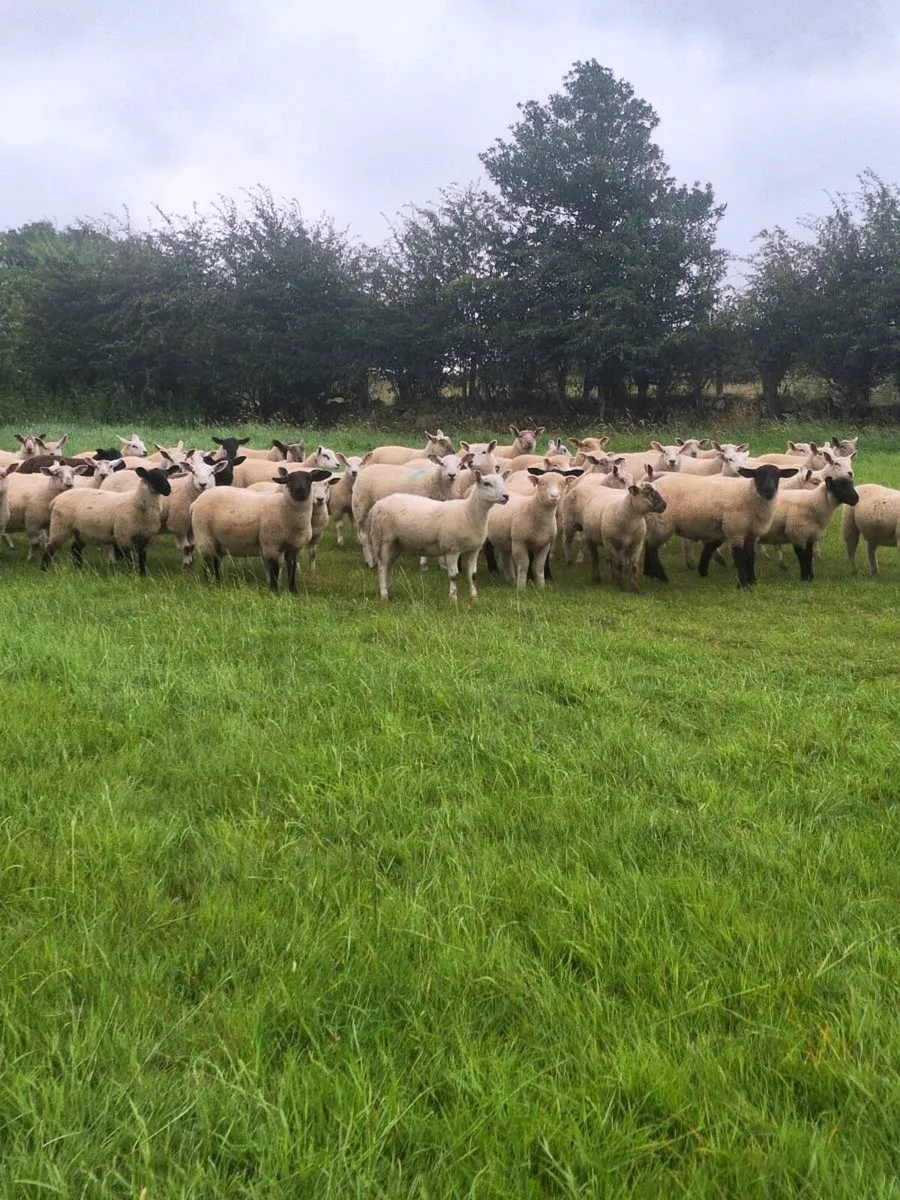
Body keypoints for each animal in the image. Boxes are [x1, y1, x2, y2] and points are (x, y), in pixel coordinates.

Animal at [42, 466, 177, 576]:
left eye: (166, 475)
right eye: (151, 477)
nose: (168, 489)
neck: (135, 503)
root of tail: (56, 500)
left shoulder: (145, 536)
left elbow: (142, 558)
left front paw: (143, 575)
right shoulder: (124, 536)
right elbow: (129, 559)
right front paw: (132, 574)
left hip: (81, 531)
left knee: (75, 549)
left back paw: (79, 569)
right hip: (60, 527)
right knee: (50, 548)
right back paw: (44, 570)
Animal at [190, 467, 333, 591]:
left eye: (309, 479)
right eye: (289, 480)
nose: (300, 491)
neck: (284, 508)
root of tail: (195, 502)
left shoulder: (295, 548)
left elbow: (291, 570)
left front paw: (293, 591)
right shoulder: (271, 544)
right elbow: (274, 570)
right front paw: (275, 591)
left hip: (217, 541)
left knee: (215, 561)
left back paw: (218, 582)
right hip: (204, 535)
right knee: (207, 563)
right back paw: (209, 584)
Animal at [369, 470, 509, 601]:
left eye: (503, 482)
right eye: (486, 483)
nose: (506, 496)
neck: (467, 512)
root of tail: (378, 505)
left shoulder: (474, 549)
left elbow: (472, 575)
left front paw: (474, 597)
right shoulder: (452, 548)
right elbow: (454, 576)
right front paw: (453, 599)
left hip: (397, 543)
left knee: (389, 565)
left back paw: (390, 589)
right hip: (384, 539)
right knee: (382, 567)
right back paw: (384, 595)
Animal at [643, 465, 798, 588]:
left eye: (777, 476)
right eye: (758, 475)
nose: (769, 490)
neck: (749, 496)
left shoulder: (752, 534)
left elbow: (750, 558)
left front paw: (753, 581)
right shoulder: (735, 531)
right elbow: (740, 559)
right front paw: (743, 585)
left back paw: (650, 575)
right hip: (661, 523)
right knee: (652, 550)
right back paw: (661, 578)